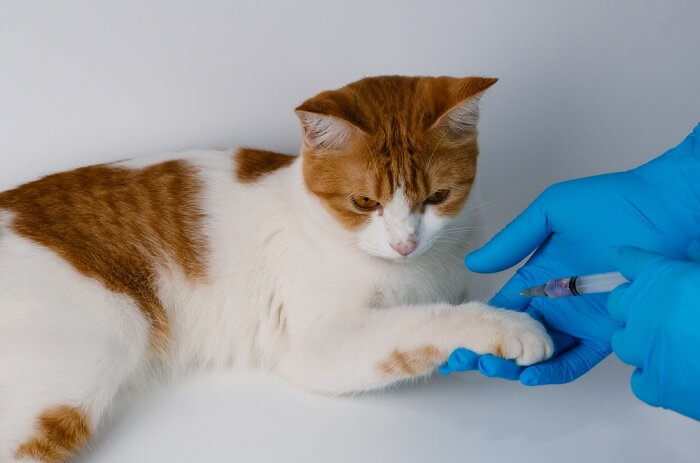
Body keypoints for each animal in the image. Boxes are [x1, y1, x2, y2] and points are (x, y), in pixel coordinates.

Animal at [0, 74, 552, 462]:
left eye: (438, 197)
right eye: (364, 201)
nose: (404, 243)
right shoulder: (320, 346)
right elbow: (425, 321)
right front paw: (509, 327)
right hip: (95, 346)